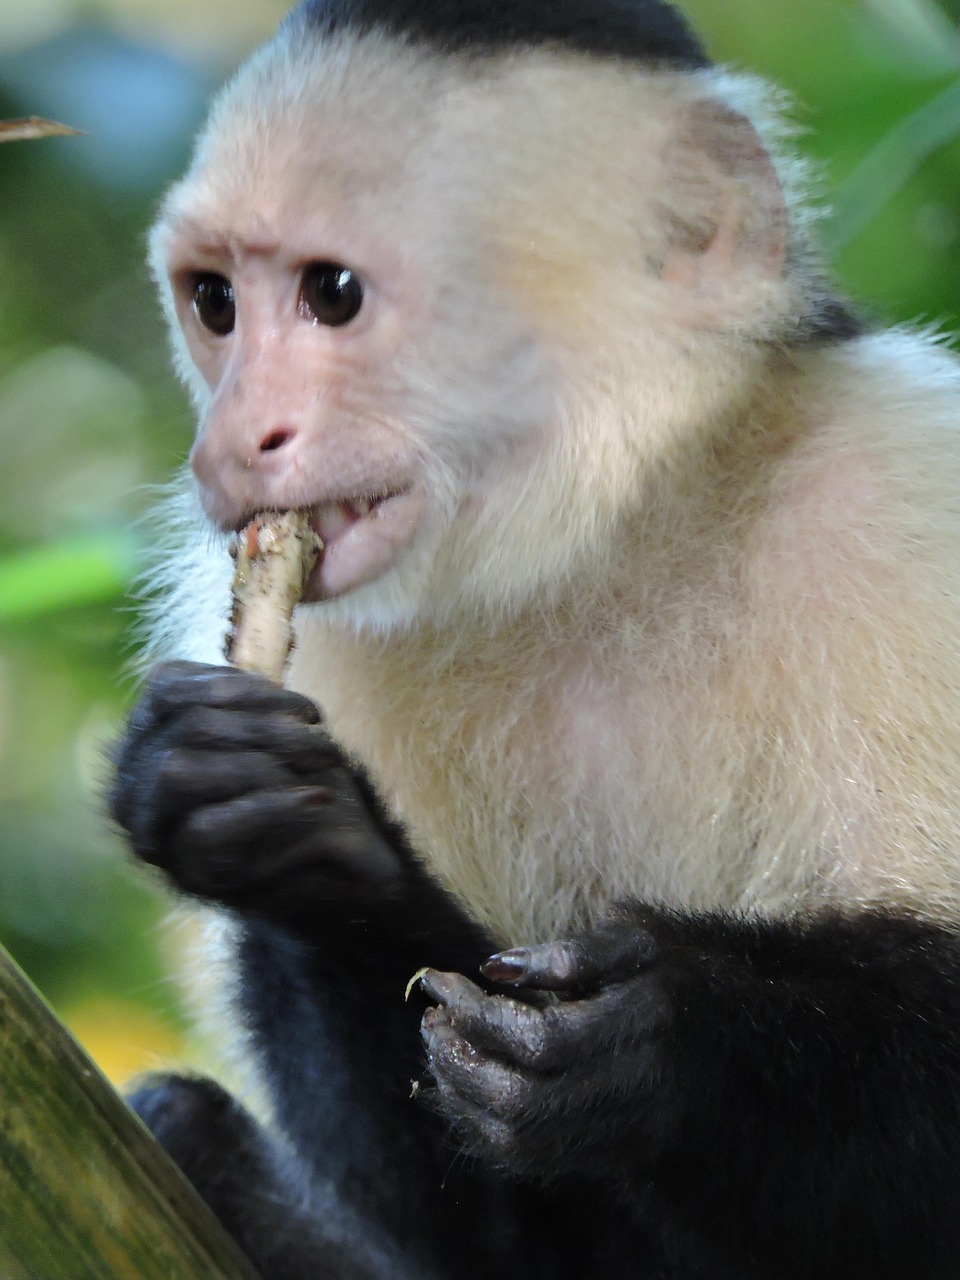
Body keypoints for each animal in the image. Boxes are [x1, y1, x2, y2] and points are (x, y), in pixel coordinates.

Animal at [109, 0, 960, 1276]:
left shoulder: (912, 500)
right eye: (215, 305)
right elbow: (474, 1230)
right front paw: (292, 838)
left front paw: (660, 1046)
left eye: (334, 292)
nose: (227, 444)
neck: (609, 541)